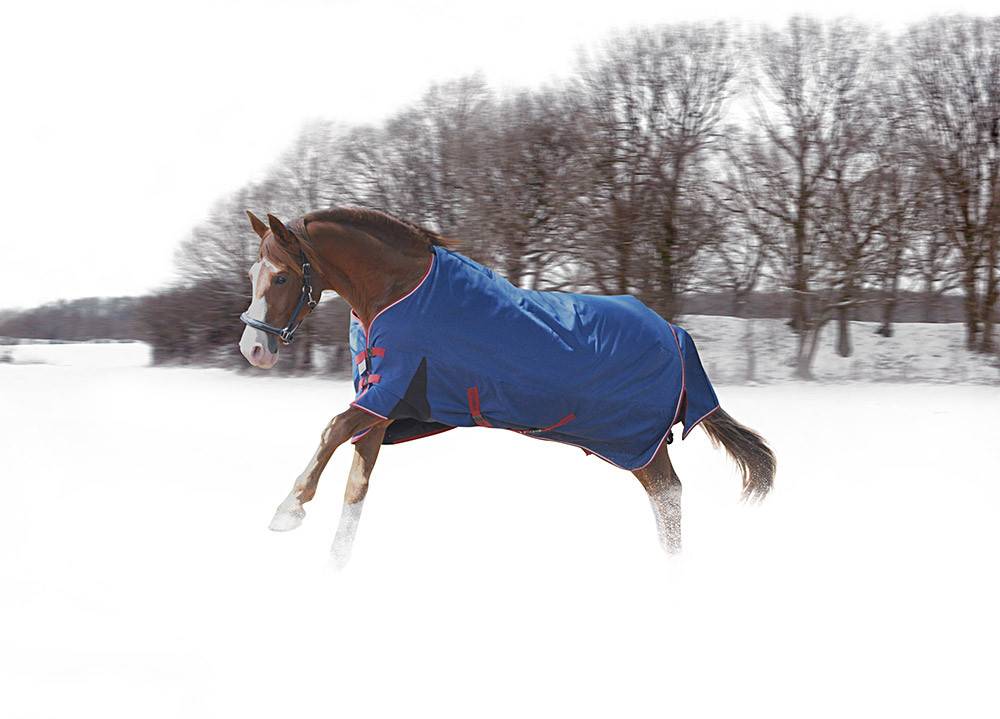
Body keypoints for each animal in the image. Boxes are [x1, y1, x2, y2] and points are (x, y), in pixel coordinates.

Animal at [238, 209, 775, 566]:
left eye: (281, 277)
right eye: (252, 273)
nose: (253, 349)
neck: (399, 292)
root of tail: (674, 333)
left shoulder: (386, 394)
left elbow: (331, 429)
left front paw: (288, 509)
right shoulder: (381, 410)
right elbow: (356, 487)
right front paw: (335, 561)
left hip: (637, 443)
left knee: (667, 496)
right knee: (667, 497)